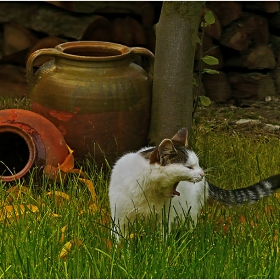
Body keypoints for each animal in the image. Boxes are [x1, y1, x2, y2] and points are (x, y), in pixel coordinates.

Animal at [107, 128, 280, 237]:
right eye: (189, 167)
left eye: (197, 164)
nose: (202, 173)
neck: (148, 189)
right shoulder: (120, 218)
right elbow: (120, 240)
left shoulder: (164, 218)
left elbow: (161, 239)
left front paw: (161, 254)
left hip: (191, 211)